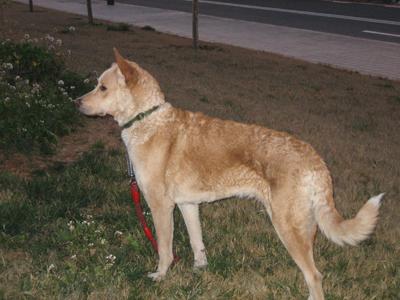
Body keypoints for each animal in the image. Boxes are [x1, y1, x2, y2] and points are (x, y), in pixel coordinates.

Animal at [76, 49, 384, 300]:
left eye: (102, 87)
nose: (77, 102)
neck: (148, 119)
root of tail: (314, 157)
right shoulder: (188, 205)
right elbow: (196, 242)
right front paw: (199, 269)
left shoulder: (160, 207)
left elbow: (164, 248)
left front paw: (161, 276)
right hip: (304, 227)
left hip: (287, 227)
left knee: (315, 276)